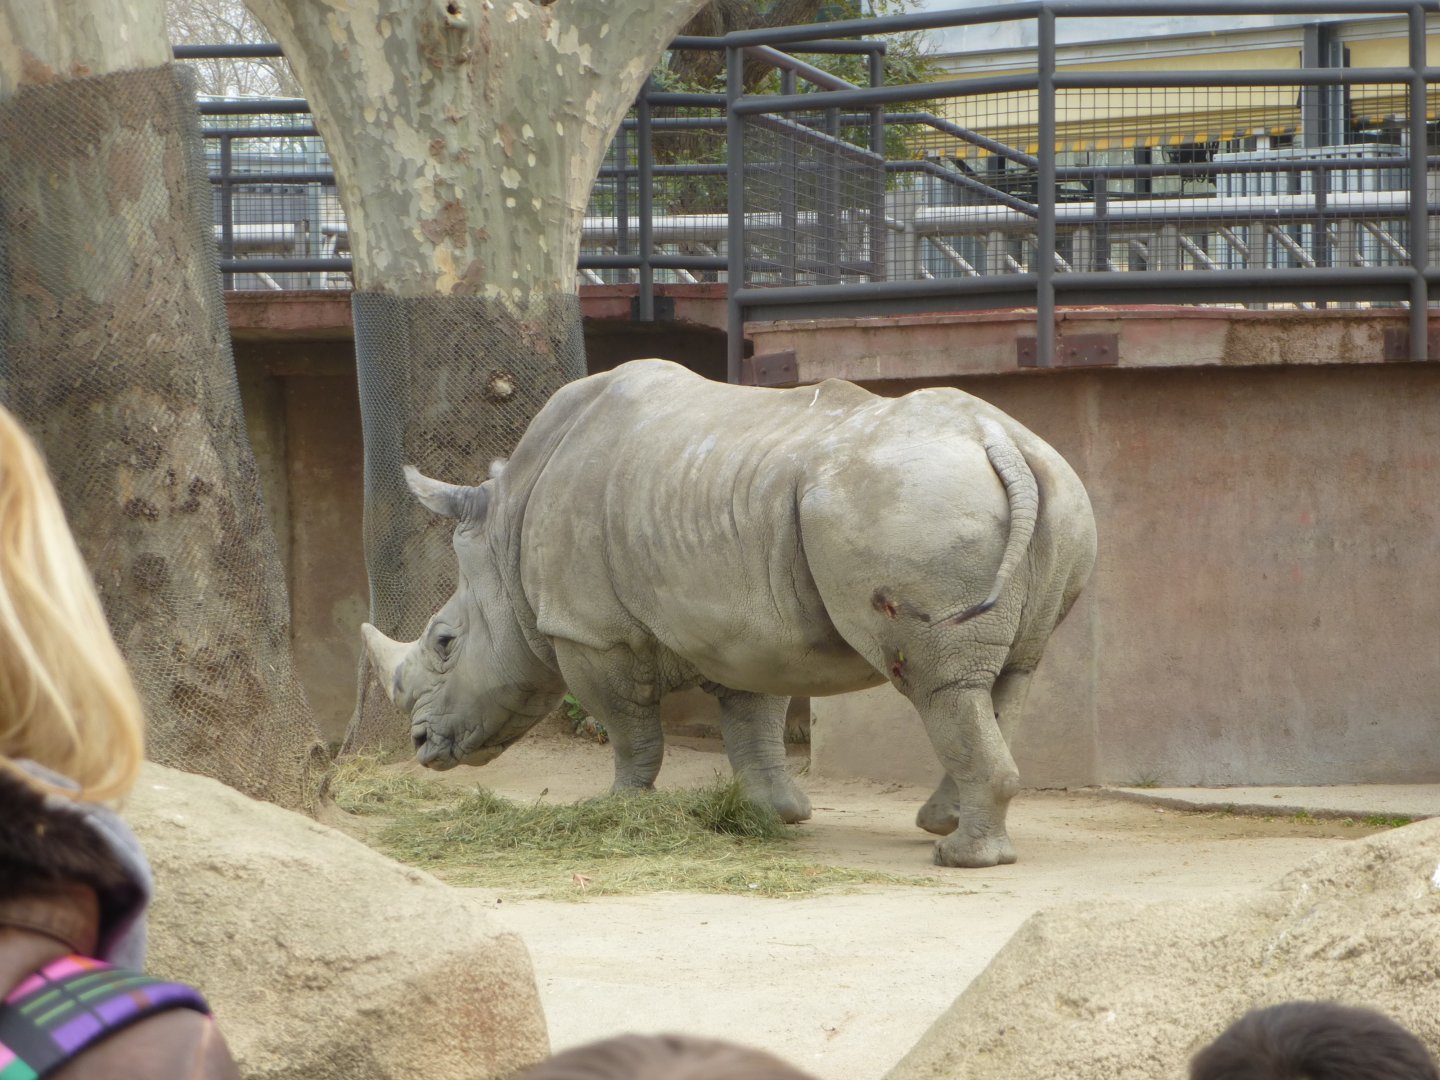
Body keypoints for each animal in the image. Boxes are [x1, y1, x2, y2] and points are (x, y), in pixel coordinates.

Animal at [363, 359, 1096, 867]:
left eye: (444, 642)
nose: (420, 745)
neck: (505, 535)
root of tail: (999, 440)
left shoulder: (589, 631)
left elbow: (630, 730)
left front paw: (616, 809)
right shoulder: (747, 628)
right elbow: (754, 718)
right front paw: (769, 814)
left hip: (913, 499)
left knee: (936, 680)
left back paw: (961, 858)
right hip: (1055, 496)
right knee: (1004, 678)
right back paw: (939, 826)